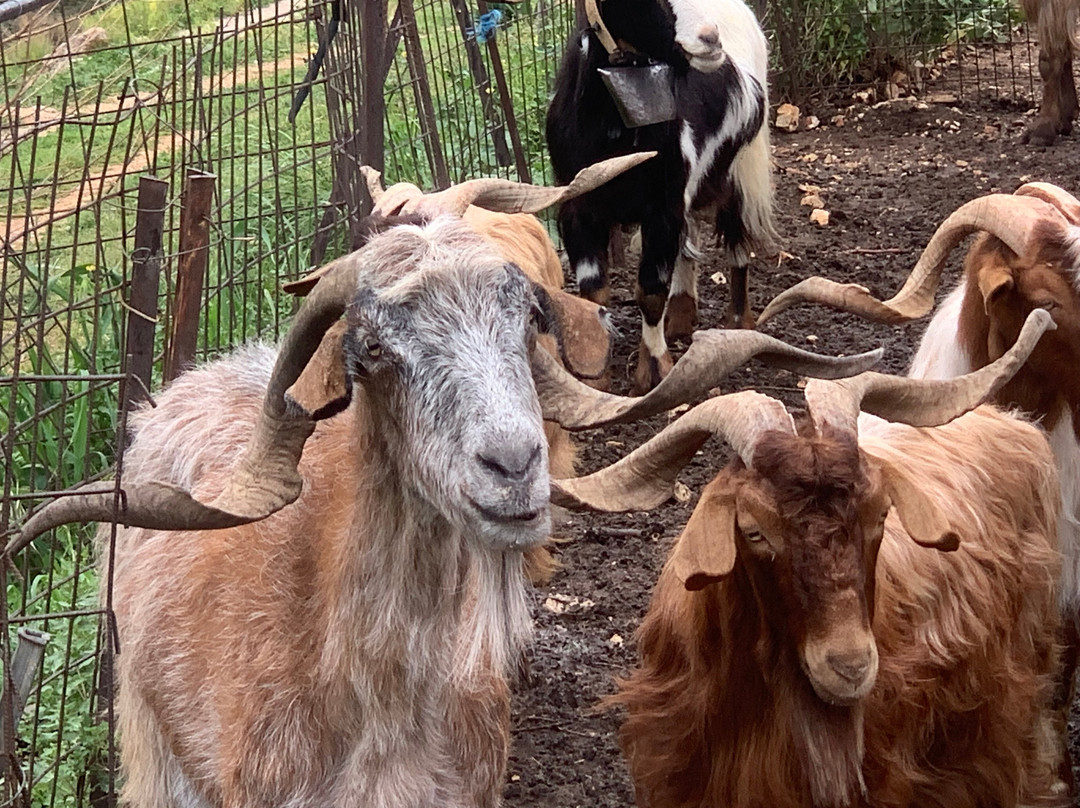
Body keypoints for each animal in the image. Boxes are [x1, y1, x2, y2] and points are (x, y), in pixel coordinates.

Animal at [546, 0, 775, 393]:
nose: (710, 38)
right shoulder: (577, 207)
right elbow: (594, 291)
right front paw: (595, 376)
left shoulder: (662, 207)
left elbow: (651, 291)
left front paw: (653, 372)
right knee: (689, 237)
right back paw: (681, 316)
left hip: (739, 168)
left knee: (737, 238)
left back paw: (740, 322)